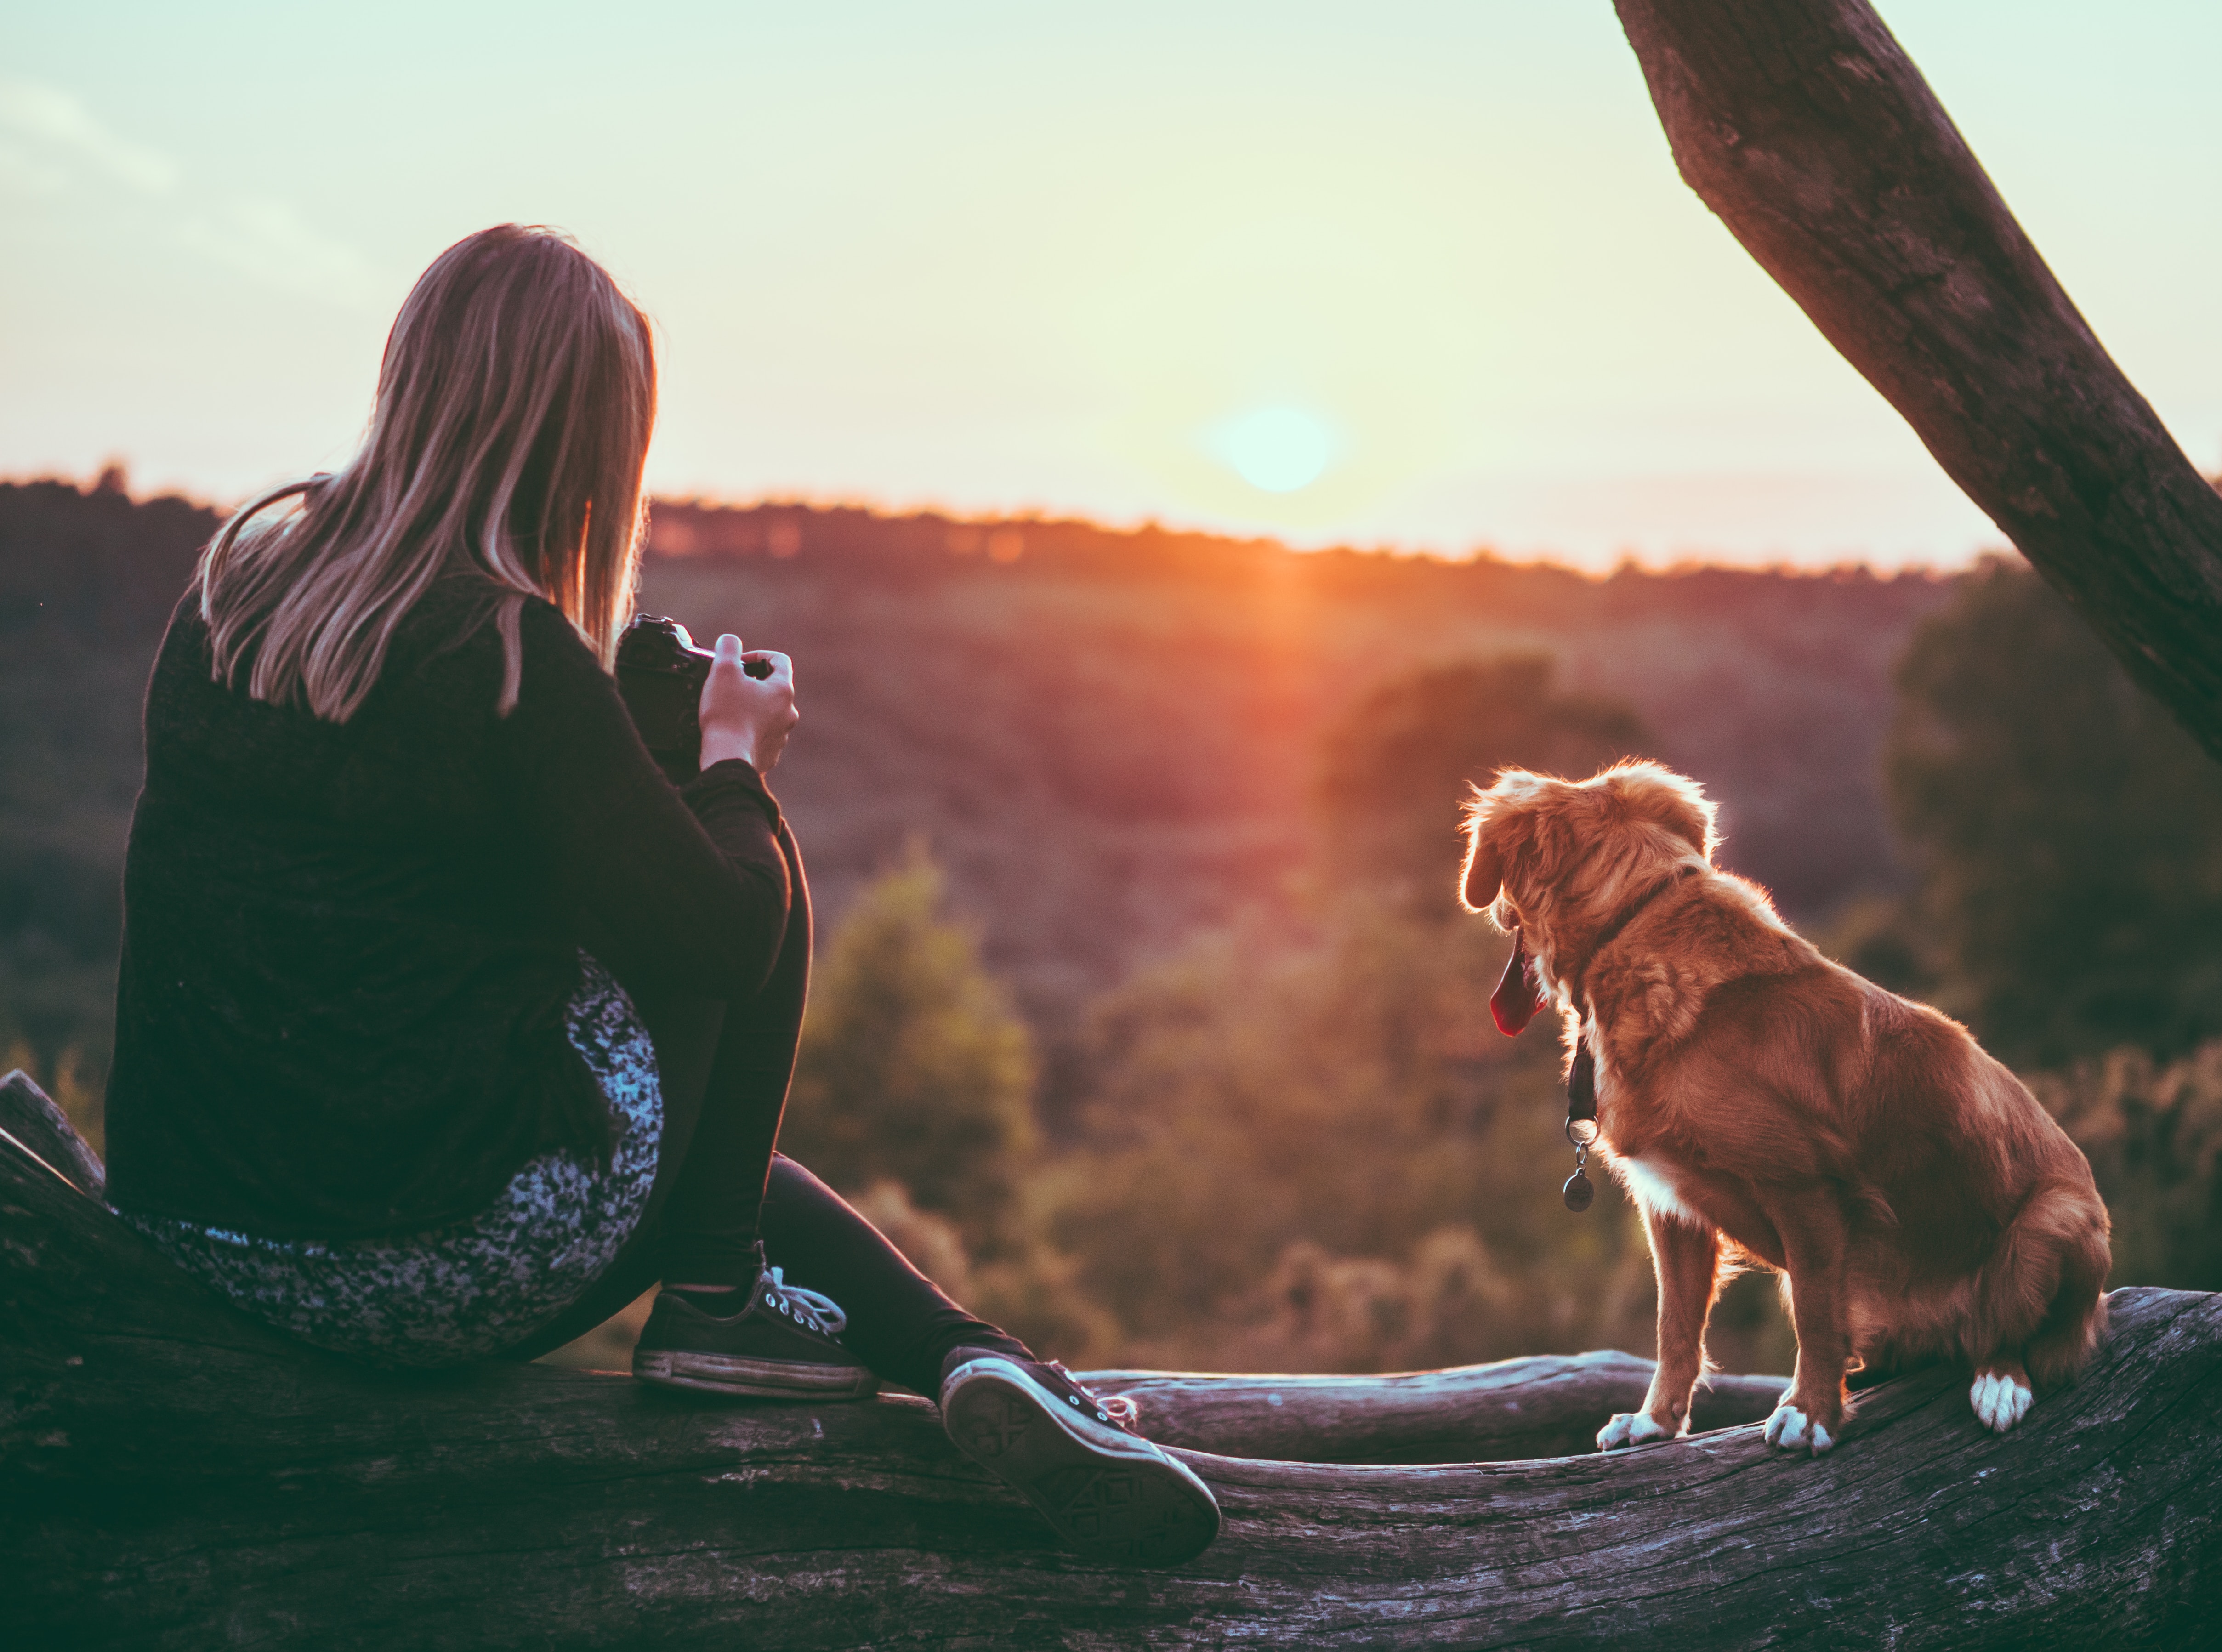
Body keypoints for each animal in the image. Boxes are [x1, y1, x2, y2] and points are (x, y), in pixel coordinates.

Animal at [1466, 755, 2106, 1448]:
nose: (1493, 909)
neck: (1631, 928)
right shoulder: (1672, 1207)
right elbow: (1675, 1328)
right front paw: (1655, 1420)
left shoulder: (1804, 1188)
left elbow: (1814, 1315)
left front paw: (1810, 1412)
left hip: (2054, 1220)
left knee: (2015, 1334)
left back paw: (1998, 1383)